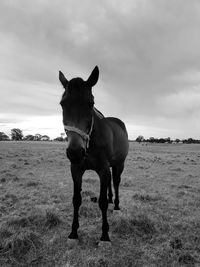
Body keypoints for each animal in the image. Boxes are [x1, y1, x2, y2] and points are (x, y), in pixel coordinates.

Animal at [58, 66, 129, 246]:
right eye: (62, 104)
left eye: (91, 104)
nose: (75, 152)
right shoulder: (76, 169)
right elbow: (76, 200)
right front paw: (73, 233)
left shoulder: (102, 169)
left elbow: (102, 202)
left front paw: (104, 236)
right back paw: (111, 200)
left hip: (119, 164)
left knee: (116, 182)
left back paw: (116, 206)